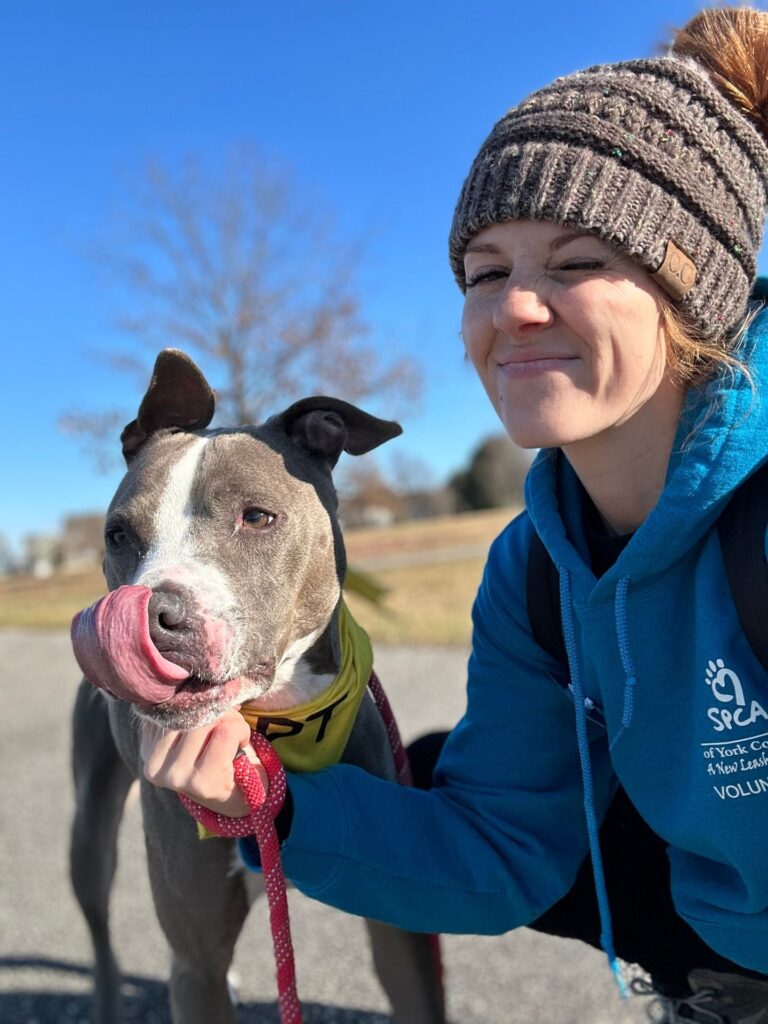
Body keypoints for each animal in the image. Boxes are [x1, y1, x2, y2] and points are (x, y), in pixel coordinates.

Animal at [71, 348, 444, 1019]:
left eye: (258, 517)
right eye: (117, 535)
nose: (155, 617)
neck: (278, 729)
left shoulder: (400, 926)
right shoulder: (195, 962)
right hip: (90, 828)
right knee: (99, 924)